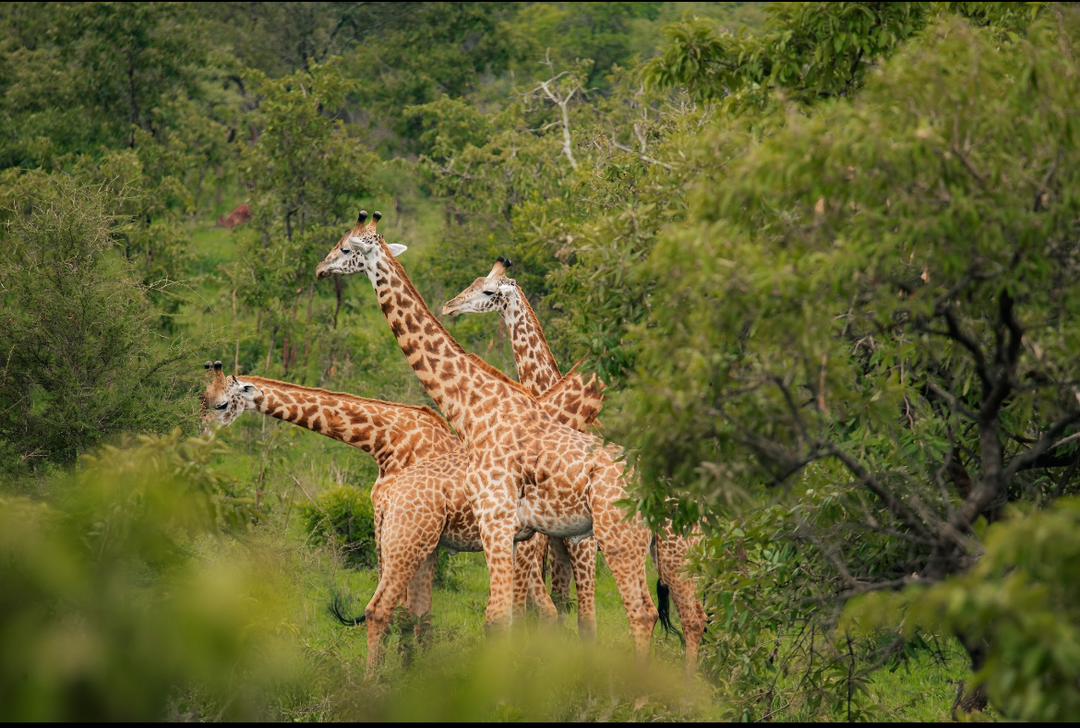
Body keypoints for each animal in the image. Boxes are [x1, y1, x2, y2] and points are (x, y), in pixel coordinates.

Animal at [198, 356, 604, 673]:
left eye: (220, 405)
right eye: (202, 399)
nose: (201, 435)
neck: (384, 440)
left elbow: (411, 612)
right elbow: (415, 614)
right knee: (553, 610)